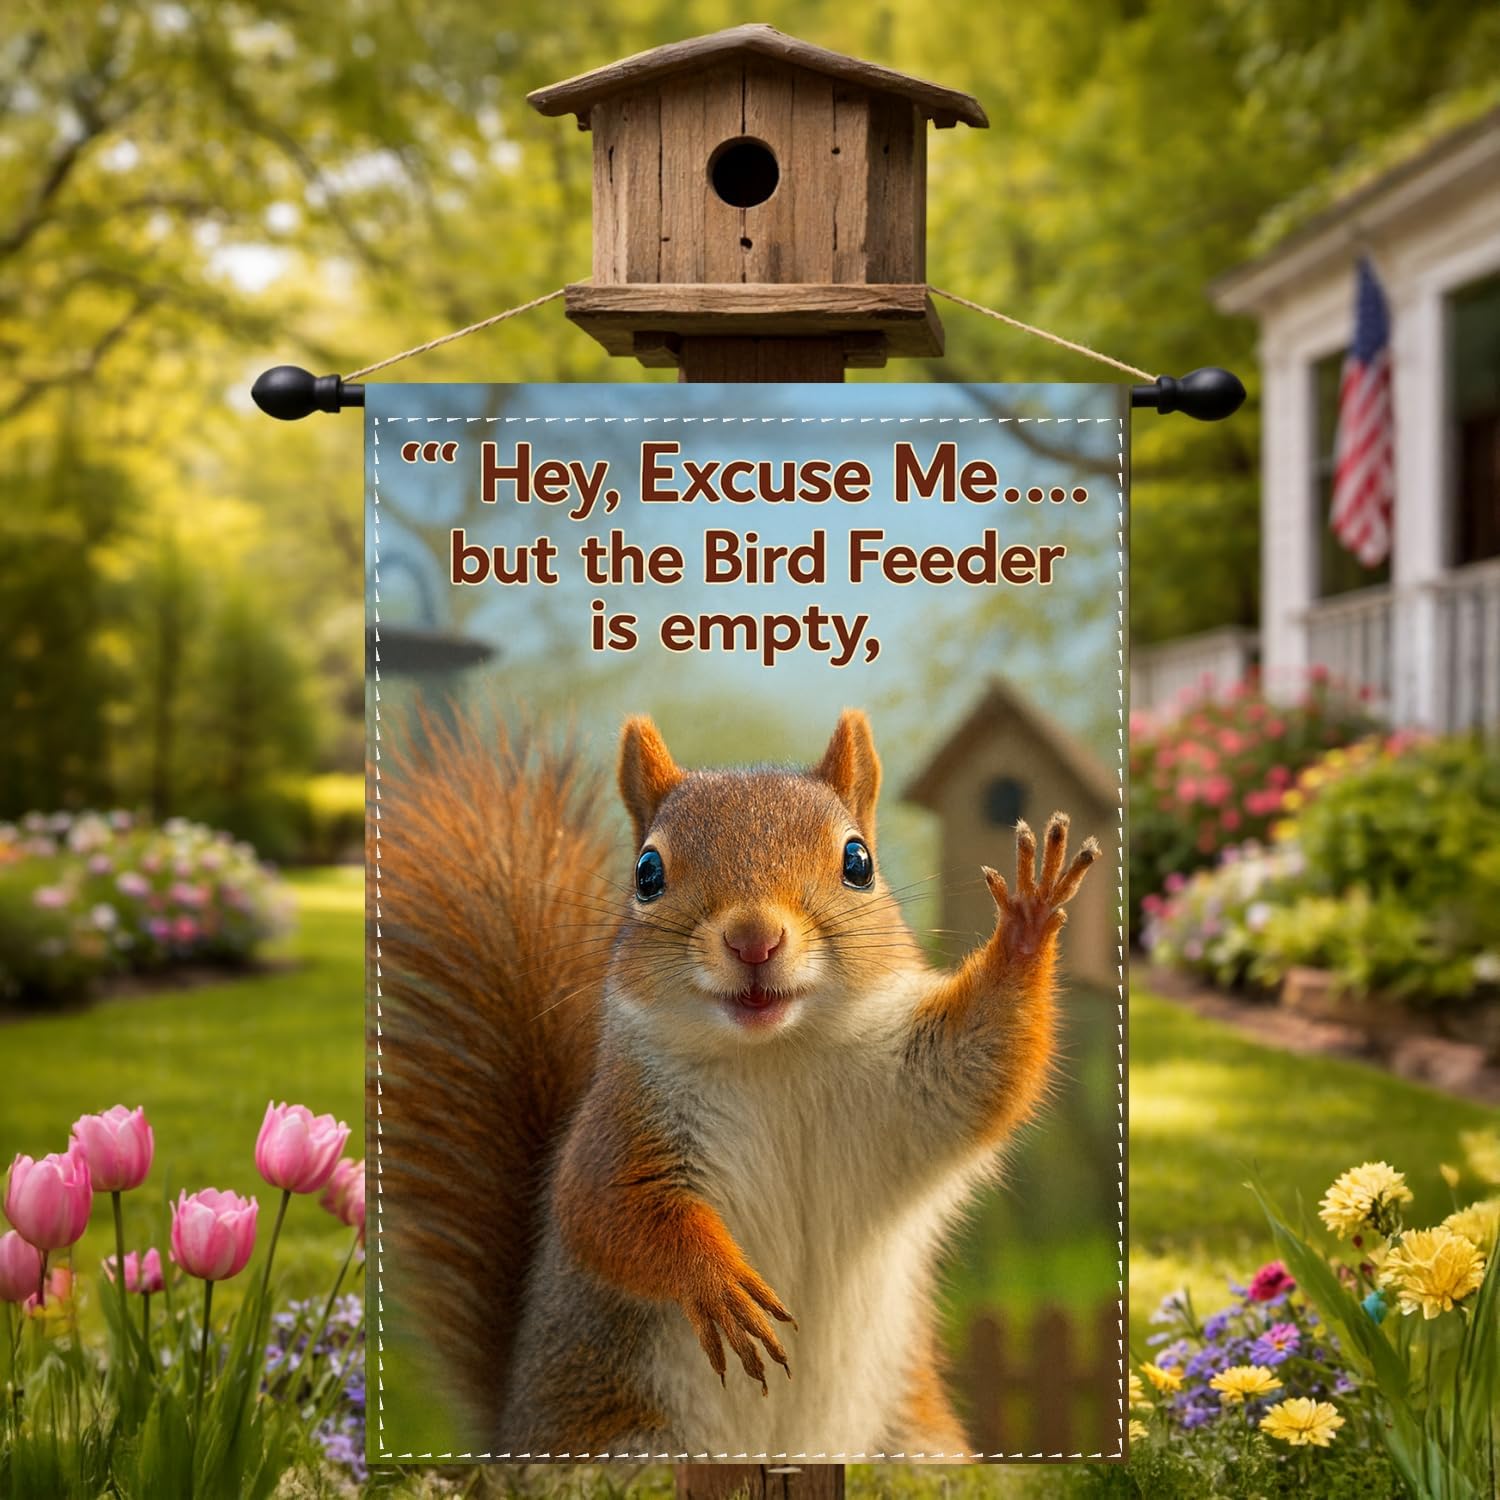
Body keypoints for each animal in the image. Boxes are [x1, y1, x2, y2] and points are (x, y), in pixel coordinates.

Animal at [379, 706, 1098, 1459]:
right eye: (647, 873)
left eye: (858, 862)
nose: (754, 939)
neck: (775, 1056)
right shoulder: (623, 1128)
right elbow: (609, 1213)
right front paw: (718, 1285)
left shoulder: (915, 1084)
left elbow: (986, 1068)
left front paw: (1028, 921)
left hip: (912, 1445)